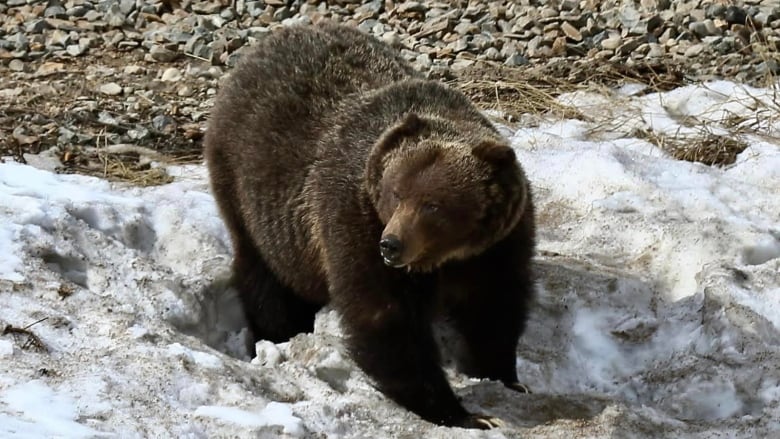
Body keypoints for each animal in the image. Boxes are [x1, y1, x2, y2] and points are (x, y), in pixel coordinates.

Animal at [204, 21, 536, 430]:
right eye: (396, 192)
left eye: (433, 205)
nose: (391, 244)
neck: (446, 256)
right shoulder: (353, 219)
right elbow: (385, 318)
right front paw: (460, 413)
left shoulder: (496, 245)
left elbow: (494, 307)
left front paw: (506, 377)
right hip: (248, 193)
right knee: (266, 278)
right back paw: (278, 333)